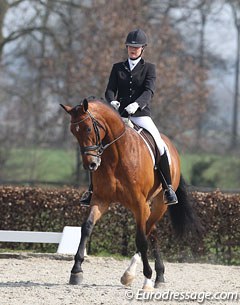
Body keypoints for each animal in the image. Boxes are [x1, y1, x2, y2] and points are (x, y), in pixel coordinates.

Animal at [60, 97, 201, 290]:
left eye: (88, 128)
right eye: (73, 132)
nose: (91, 164)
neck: (115, 157)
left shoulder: (139, 204)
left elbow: (141, 239)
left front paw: (146, 277)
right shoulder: (101, 199)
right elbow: (87, 227)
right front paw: (76, 271)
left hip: (159, 203)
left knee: (148, 230)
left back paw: (135, 274)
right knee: (152, 231)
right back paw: (159, 276)